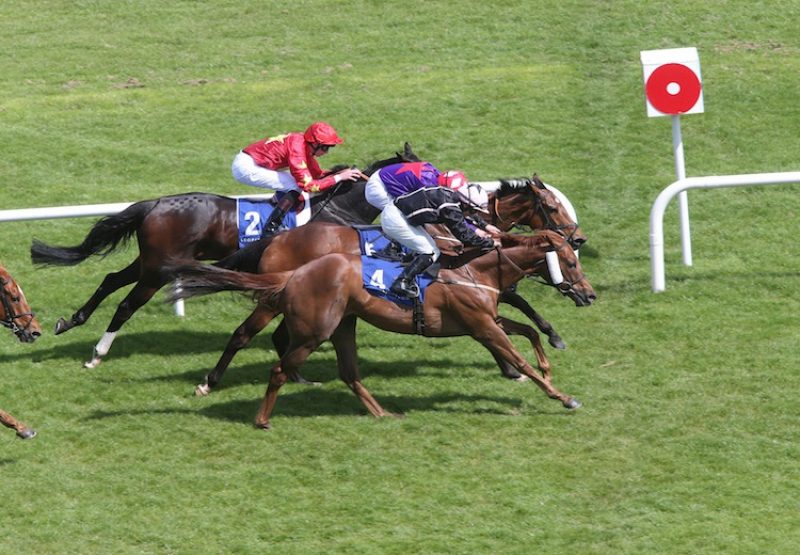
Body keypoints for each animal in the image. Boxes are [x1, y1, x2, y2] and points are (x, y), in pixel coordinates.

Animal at [167, 230, 592, 430]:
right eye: (570, 263)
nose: (590, 294)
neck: (476, 270)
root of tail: (295, 272)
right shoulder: (483, 326)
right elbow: (519, 360)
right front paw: (562, 396)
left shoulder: (487, 320)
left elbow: (530, 333)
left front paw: (550, 361)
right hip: (314, 330)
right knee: (277, 366)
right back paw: (259, 417)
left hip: (343, 325)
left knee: (349, 372)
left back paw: (381, 413)